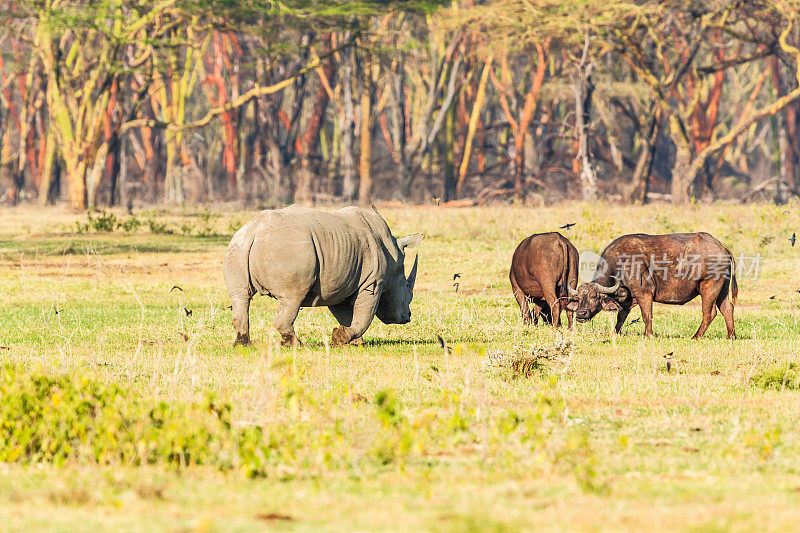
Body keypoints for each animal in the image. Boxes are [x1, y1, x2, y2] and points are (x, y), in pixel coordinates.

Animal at [223, 203, 424, 344]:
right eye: (408, 288)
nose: (408, 317)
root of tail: (255, 232)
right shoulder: (372, 282)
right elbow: (364, 314)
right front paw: (344, 338)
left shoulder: (340, 284)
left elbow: (346, 315)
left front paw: (353, 341)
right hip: (288, 248)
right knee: (292, 298)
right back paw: (296, 345)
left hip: (237, 245)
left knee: (241, 296)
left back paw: (243, 344)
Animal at [564, 232, 736, 338]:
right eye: (579, 298)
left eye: (595, 297)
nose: (581, 314)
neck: (621, 263)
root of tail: (722, 247)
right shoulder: (627, 300)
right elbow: (621, 317)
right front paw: (616, 332)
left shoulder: (644, 293)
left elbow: (647, 315)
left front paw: (648, 334)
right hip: (722, 289)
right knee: (727, 308)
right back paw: (731, 335)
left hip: (709, 287)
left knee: (709, 313)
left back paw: (696, 336)